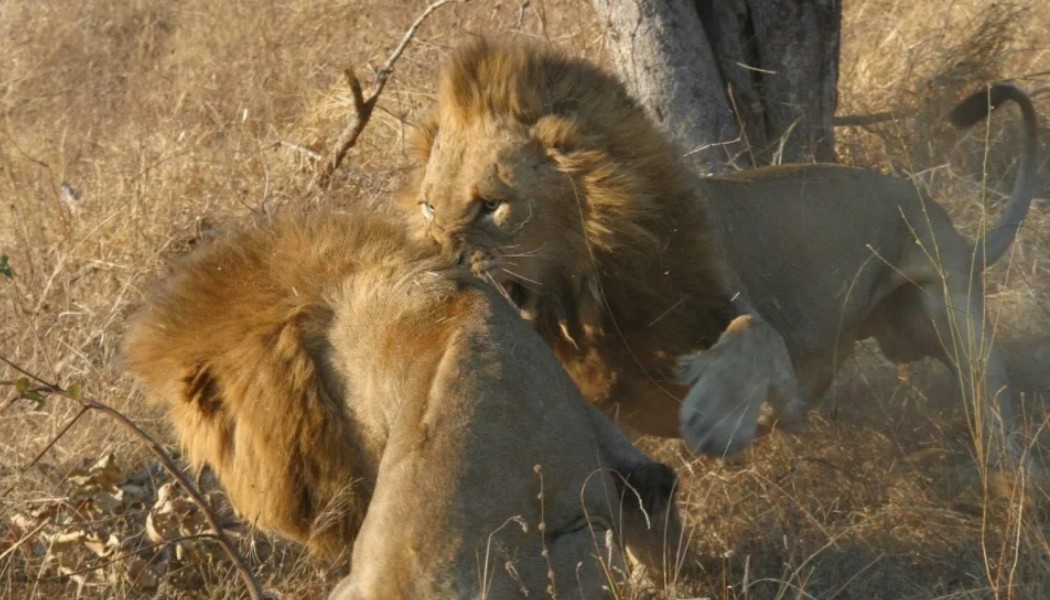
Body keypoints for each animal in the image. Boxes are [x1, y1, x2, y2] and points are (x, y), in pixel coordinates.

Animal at [398, 38, 1041, 468]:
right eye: (428, 207)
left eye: (491, 205)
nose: (435, 266)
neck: (589, 301)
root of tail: (942, 217)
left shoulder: (776, 357)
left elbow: (753, 337)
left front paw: (715, 415)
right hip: (903, 331)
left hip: (952, 318)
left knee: (998, 411)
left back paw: (1016, 491)